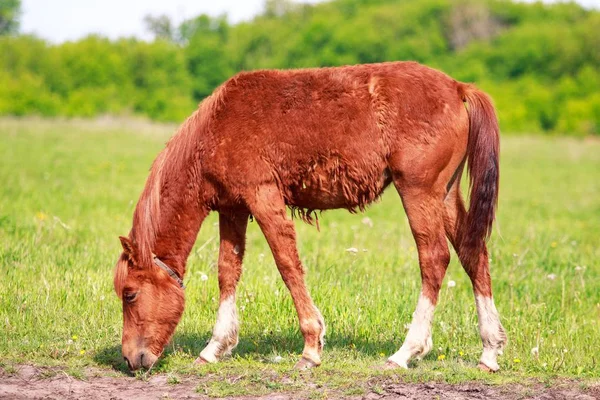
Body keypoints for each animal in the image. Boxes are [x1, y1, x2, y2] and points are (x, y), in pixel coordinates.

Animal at [113, 61, 506, 372]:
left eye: (129, 294)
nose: (131, 360)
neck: (216, 128)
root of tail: (458, 88)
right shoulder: (233, 209)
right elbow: (227, 271)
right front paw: (215, 347)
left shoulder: (264, 198)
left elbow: (287, 264)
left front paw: (311, 348)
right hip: (445, 196)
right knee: (473, 253)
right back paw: (489, 351)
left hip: (418, 191)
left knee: (435, 258)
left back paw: (406, 351)